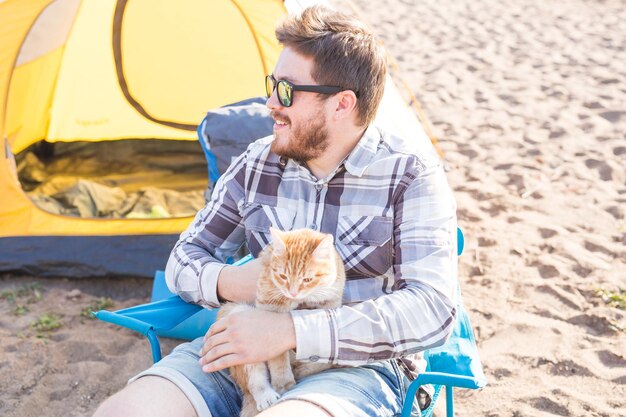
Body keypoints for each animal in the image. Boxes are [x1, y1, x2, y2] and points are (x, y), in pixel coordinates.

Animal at [217, 228, 344, 416]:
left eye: (307, 279)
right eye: (283, 276)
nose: (292, 293)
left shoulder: (331, 303)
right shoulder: (269, 310)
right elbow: (277, 357)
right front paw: (282, 382)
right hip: (238, 317)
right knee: (253, 378)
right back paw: (266, 395)